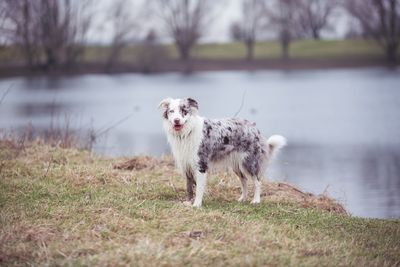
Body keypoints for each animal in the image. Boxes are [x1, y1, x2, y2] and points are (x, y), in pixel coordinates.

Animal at [158, 97, 286, 208]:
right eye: (171, 111)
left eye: (184, 111)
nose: (176, 120)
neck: (187, 132)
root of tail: (254, 127)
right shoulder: (186, 165)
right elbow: (189, 187)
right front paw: (189, 202)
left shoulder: (201, 165)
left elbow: (199, 188)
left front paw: (197, 204)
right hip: (237, 165)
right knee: (244, 181)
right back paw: (242, 199)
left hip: (249, 163)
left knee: (257, 181)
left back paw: (256, 200)